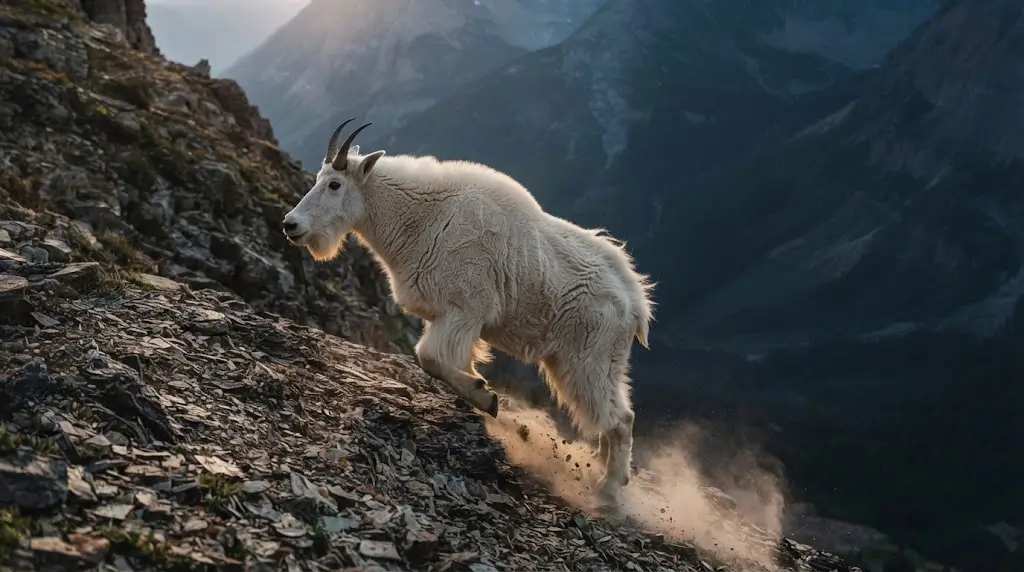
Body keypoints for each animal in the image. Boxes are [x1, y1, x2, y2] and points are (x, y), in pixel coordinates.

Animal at [281, 119, 655, 503]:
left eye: (335, 184)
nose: (290, 225)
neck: (420, 218)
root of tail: (636, 303)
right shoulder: (449, 318)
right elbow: (450, 360)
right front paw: (479, 391)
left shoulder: (463, 311)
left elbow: (429, 357)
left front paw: (485, 396)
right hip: (600, 361)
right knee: (616, 416)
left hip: (584, 360)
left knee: (618, 419)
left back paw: (608, 490)